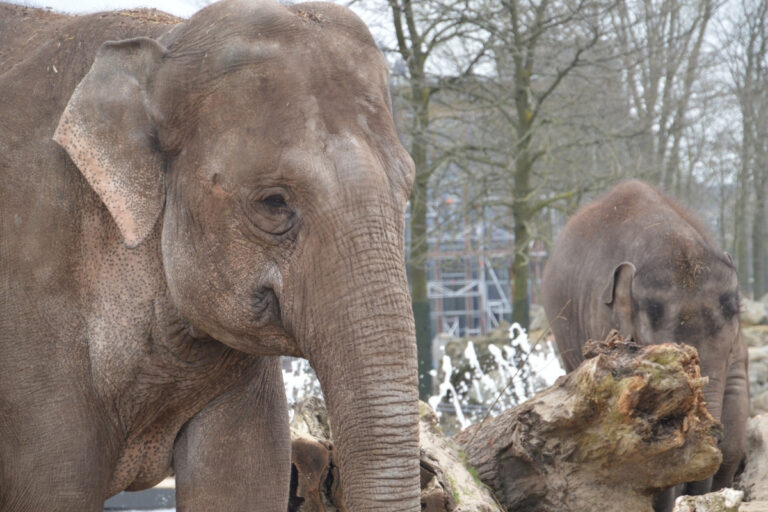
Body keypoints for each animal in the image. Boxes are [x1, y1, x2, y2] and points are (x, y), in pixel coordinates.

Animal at [0, 2, 420, 510]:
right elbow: (55, 488)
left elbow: (240, 484)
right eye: (273, 202)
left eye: (408, 186)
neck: (165, 44)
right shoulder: (31, 298)